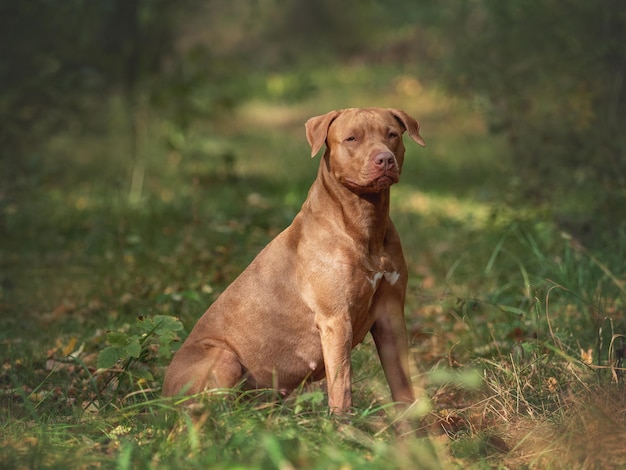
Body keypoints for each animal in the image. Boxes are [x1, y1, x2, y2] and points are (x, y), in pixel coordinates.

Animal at [162, 106, 424, 412]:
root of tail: (162, 394)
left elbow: (403, 388)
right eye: (352, 138)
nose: (384, 159)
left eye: (392, 135)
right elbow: (342, 389)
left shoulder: (390, 316)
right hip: (223, 358)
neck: (364, 222)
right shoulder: (336, 320)